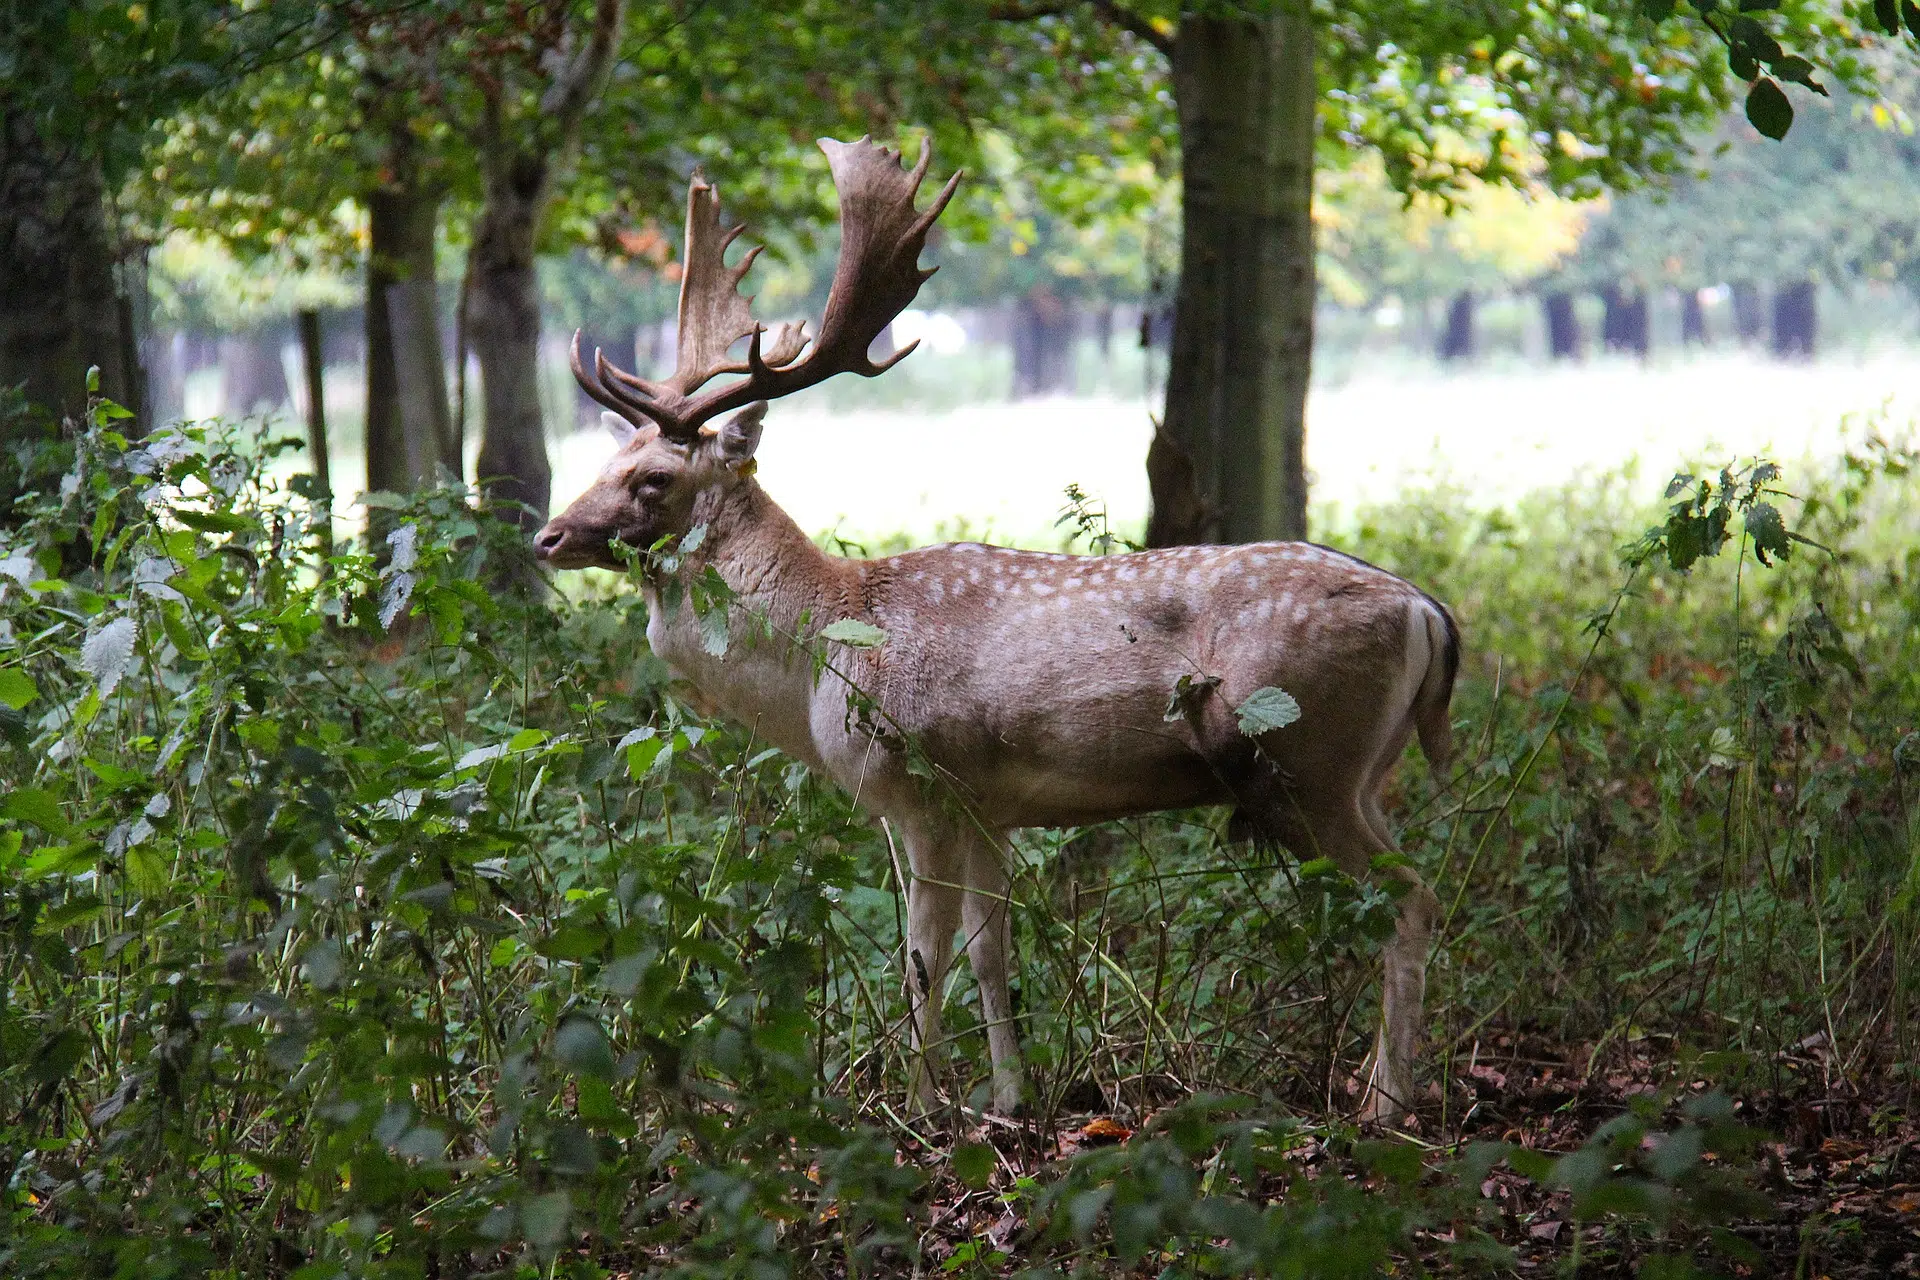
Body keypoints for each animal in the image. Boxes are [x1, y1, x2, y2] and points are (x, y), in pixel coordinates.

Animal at [533, 137, 1460, 1123]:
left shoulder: (924, 786)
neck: (825, 648)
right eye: (609, 460)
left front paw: (921, 1106)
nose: (549, 535)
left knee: (1412, 901)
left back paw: (1387, 1106)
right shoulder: (986, 806)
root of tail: (1426, 611)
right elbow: (989, 953)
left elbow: (921, 958)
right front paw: (1009, 1099)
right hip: (1362, 773)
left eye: (655, 478)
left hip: (1305, 759)